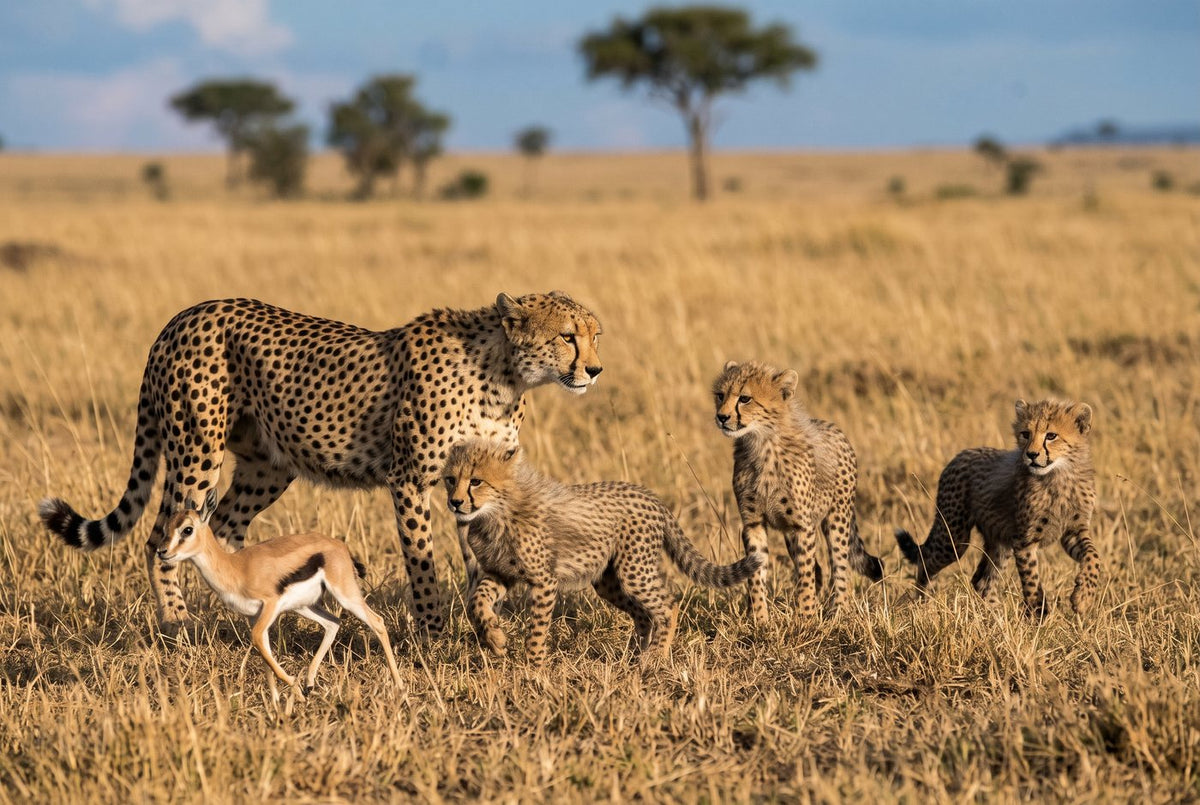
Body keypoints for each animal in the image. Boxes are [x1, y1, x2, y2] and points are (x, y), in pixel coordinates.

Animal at [38, 291, 602, 638]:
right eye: (567, 336)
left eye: (596, 335)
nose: (595, 370)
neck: (504, 376)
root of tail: (184, 315)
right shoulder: (410, 478)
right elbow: (422, 560)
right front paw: (433, 634)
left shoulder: (472, 484)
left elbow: (475, 558)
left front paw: (485, 628)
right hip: (196, 449)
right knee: (164, 535)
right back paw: (178, 623)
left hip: (268, 465)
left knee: (224, 527)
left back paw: (251, 615)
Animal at [155, 504, 404, 703]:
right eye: (166, 528)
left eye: (187, 529)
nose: (162, 551)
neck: (235, 567)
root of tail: (340, 546)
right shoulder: (254, 616)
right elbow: (263, 651)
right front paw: (276, 703)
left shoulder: (270, 606)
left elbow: (257, 639)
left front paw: (294, 687)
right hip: (304, 607)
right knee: (333, 623)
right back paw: (309, 682)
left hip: (345, 595)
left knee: (377, 621)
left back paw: (399, 686)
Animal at [441, 439, 763, 666]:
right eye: (450, 479)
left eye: (476, 481)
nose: (455, 502)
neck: (495, 512)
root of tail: (650, 496)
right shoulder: (500, 573)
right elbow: (477, 602)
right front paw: (494, 639)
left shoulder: (544, 580)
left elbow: (537, 627)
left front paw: (533, 667)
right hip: (608, 581)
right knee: (643, 614)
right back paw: (634, 654)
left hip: (634, 571)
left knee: (667, 604)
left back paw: (654, 657)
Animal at [711, 360, 884, 626]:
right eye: (720, 395)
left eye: (745, 398)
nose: (722, 417)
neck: (762, 442)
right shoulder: (753, 523)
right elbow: (757, 574)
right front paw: (760, 620)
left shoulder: (802, 525)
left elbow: (805, 574)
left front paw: (807, 618)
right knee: (819, 570)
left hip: (837, 520)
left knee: (840, 568)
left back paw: (838, 612)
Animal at [894, 398, 1099, 619]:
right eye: (1025, 434)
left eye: (1051, 435)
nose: (1031, 455)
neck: (1059, 476)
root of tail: (962, 453)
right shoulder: (1024, 541)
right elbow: (1031, 581)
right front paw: (1037, 616)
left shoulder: (1073, 531)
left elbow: (1093, 556)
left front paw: (1084, 597)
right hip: (953, 538)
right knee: (927, 562)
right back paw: (921, 603)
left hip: (1000, 542)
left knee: (982, 579)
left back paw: (993, 616)